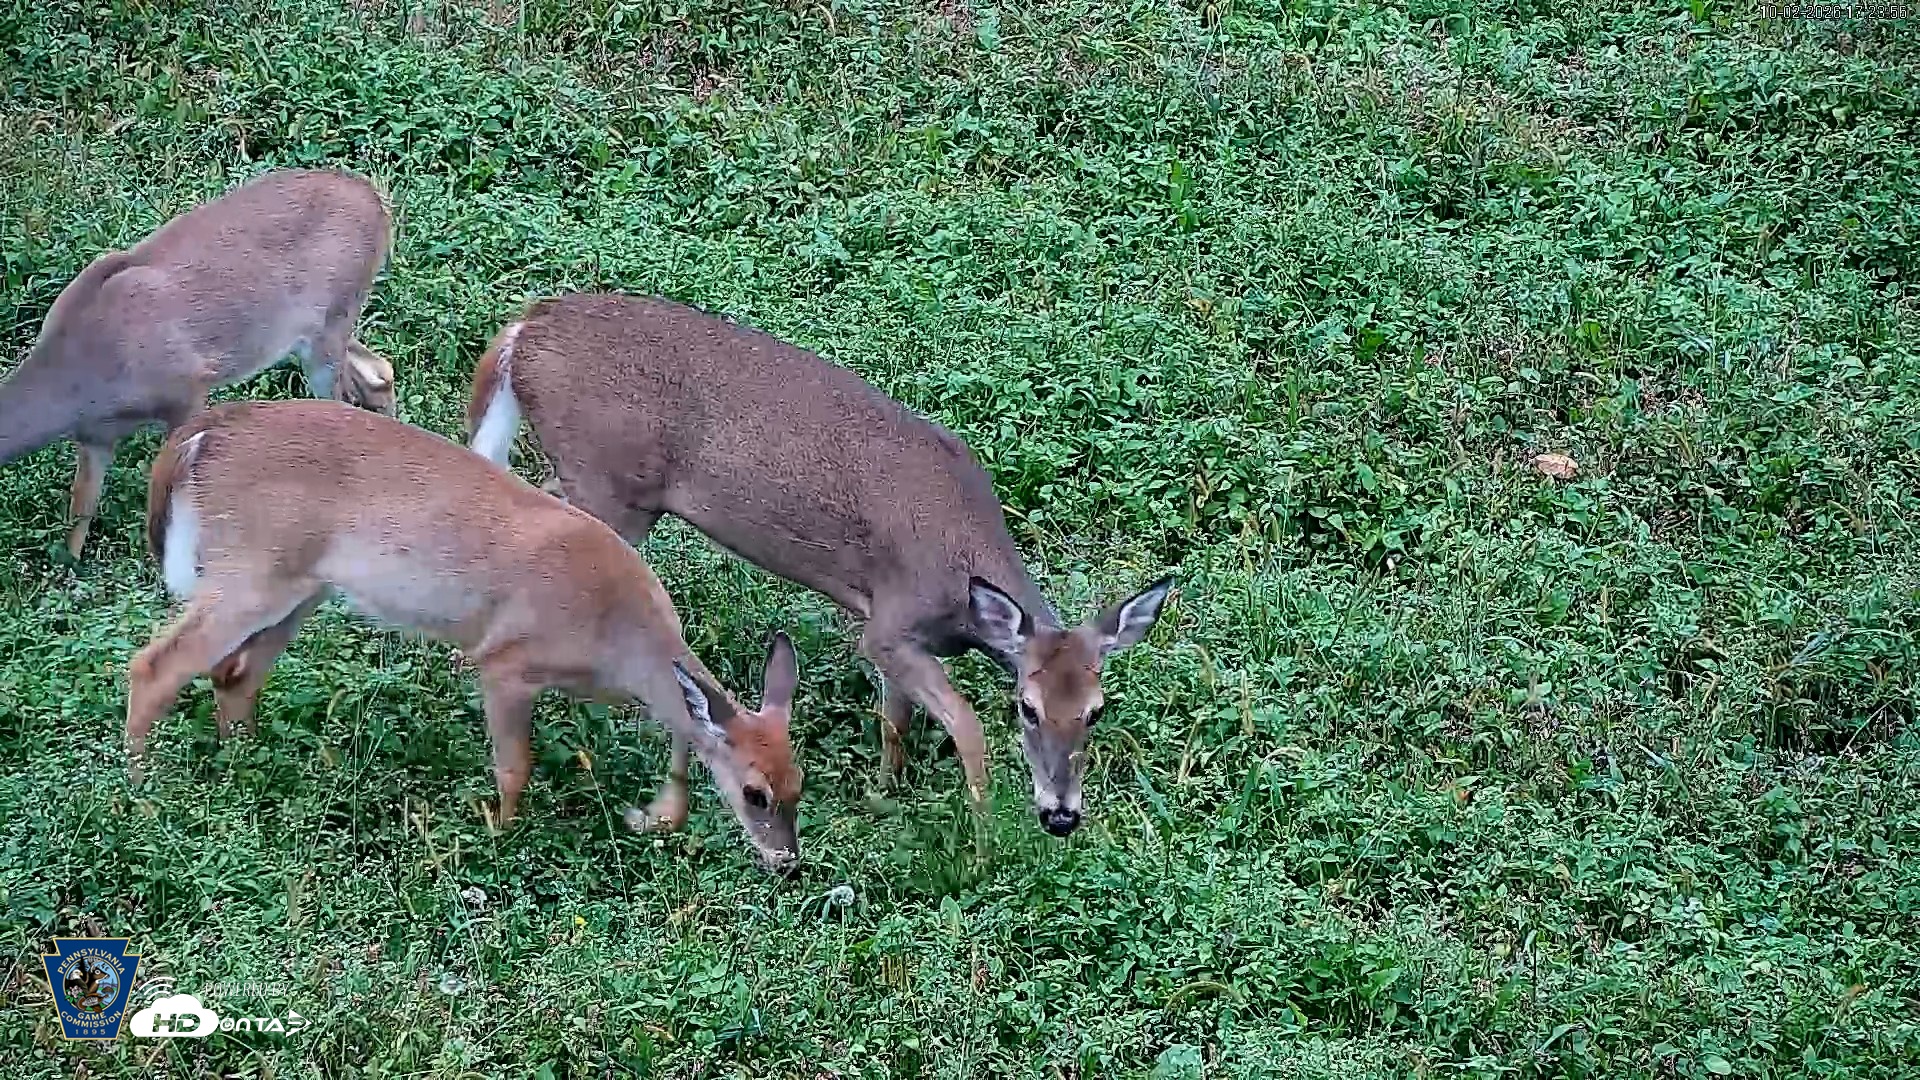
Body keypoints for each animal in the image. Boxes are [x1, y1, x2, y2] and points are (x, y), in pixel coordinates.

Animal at [0, 167, 397, 558]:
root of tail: (376, 201)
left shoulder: (186, 389)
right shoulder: (94, 437)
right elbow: (79, 514)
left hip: (330, 324)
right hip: (319, 331)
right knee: (379, 371)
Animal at [130, 397, 805, 873]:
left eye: (798, 785)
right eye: (755, 795)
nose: (787, 863)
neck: (617, 638)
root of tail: (203, 435)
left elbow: (684, 739)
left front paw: (652, 817)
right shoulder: (505, 663)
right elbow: (515, 766)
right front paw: (495, 830)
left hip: (299, 587)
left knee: (234, 674)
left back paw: (240, 769)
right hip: (249, 573)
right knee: (155, 665)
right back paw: (140, 795)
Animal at [466, 293, 1174, 839]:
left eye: (1096, 709)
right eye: (1025, 707)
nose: (1062, 816)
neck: (962, 580)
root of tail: (524, 330)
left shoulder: (890, 631)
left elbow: (895, 720)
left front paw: (883, 792)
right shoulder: (889, 624)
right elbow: (965, 723)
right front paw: (982, 836)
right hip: (609, 483)